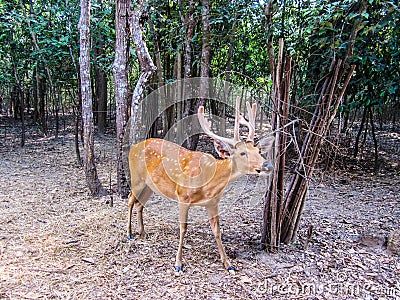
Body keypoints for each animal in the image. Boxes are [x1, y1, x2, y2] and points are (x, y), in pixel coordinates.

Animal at [126, 97, 274, 276]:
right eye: (242, 153)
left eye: (259, 151)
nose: (267, 165)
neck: (209, 182)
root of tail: (132, 148)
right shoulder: (182, 196)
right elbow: (183, 228)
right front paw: (178, 264)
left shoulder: (213, 203)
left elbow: (217, 231)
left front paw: (228, 263)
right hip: (137, 178)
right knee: (130, 200)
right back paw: (129, 234)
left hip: (151, 186)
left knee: (140, 204)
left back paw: (142, 233)